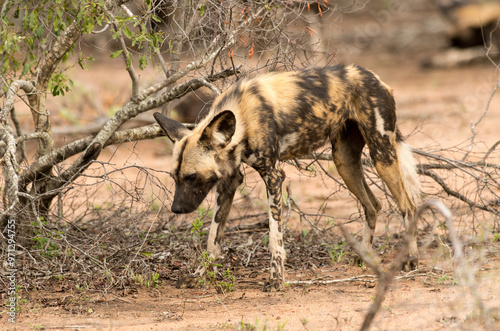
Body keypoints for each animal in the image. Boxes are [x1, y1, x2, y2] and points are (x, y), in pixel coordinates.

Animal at [154, 63, 420, 292]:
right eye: (175, 177)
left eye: (191, 177)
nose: (176, 209)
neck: (243, 116)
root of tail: (375, 77)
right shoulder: (229, 181)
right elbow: (213, 237)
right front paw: (200, 274)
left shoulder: (273, 176)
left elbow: (275, 238)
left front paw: (276, 280)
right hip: (344, 162)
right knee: (373, 204)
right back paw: (364, 256)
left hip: (381, 154)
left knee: (408, 206)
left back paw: (411, 259)